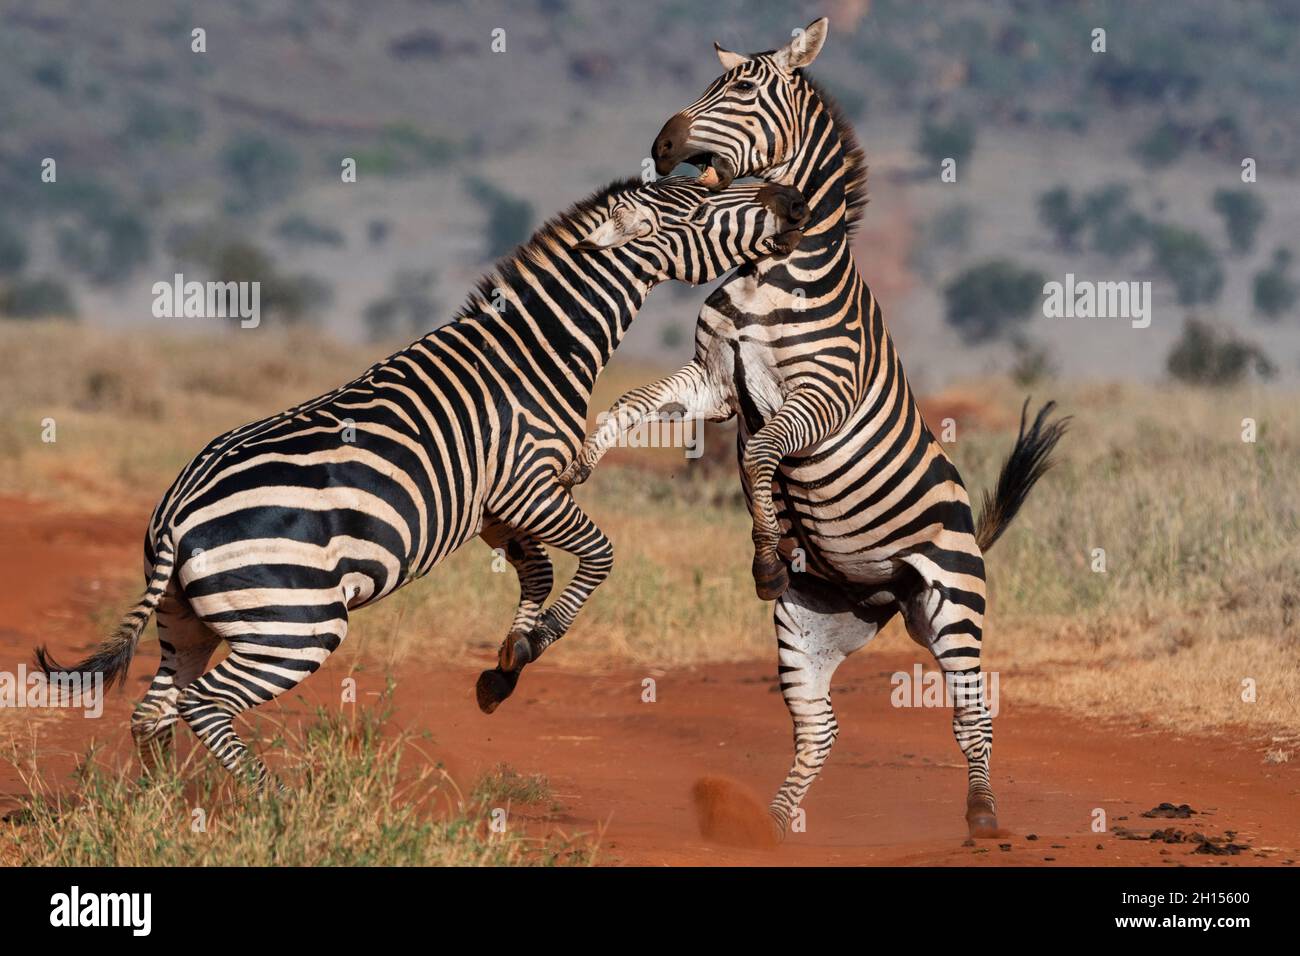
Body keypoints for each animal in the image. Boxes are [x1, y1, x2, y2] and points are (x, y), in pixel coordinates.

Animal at [38, 179, 811, 785]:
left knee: (154, 711)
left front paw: (507, 665)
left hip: (187, 620)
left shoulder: (493, 508)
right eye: (706, 203)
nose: (793, 200)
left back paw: (171, 808)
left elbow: (536, 572)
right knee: (206, 706)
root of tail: (177, 511)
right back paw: (271, 803)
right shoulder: (530, 486)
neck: (536, 352)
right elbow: (600, 555)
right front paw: (537, 641)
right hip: (295, 624)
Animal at [561, 16, 1066, 837]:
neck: (771, 272)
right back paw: (769, 823)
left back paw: (984, 817)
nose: (662, 146)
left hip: (955, 606)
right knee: (819, 727)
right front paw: (581, 457)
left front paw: (767, 550)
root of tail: (885, 595)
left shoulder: (821, 397)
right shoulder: (712, 382)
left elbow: (762, 452)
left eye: (742, 87)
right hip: (808, 629)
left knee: (971, 713)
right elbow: (634, 405)